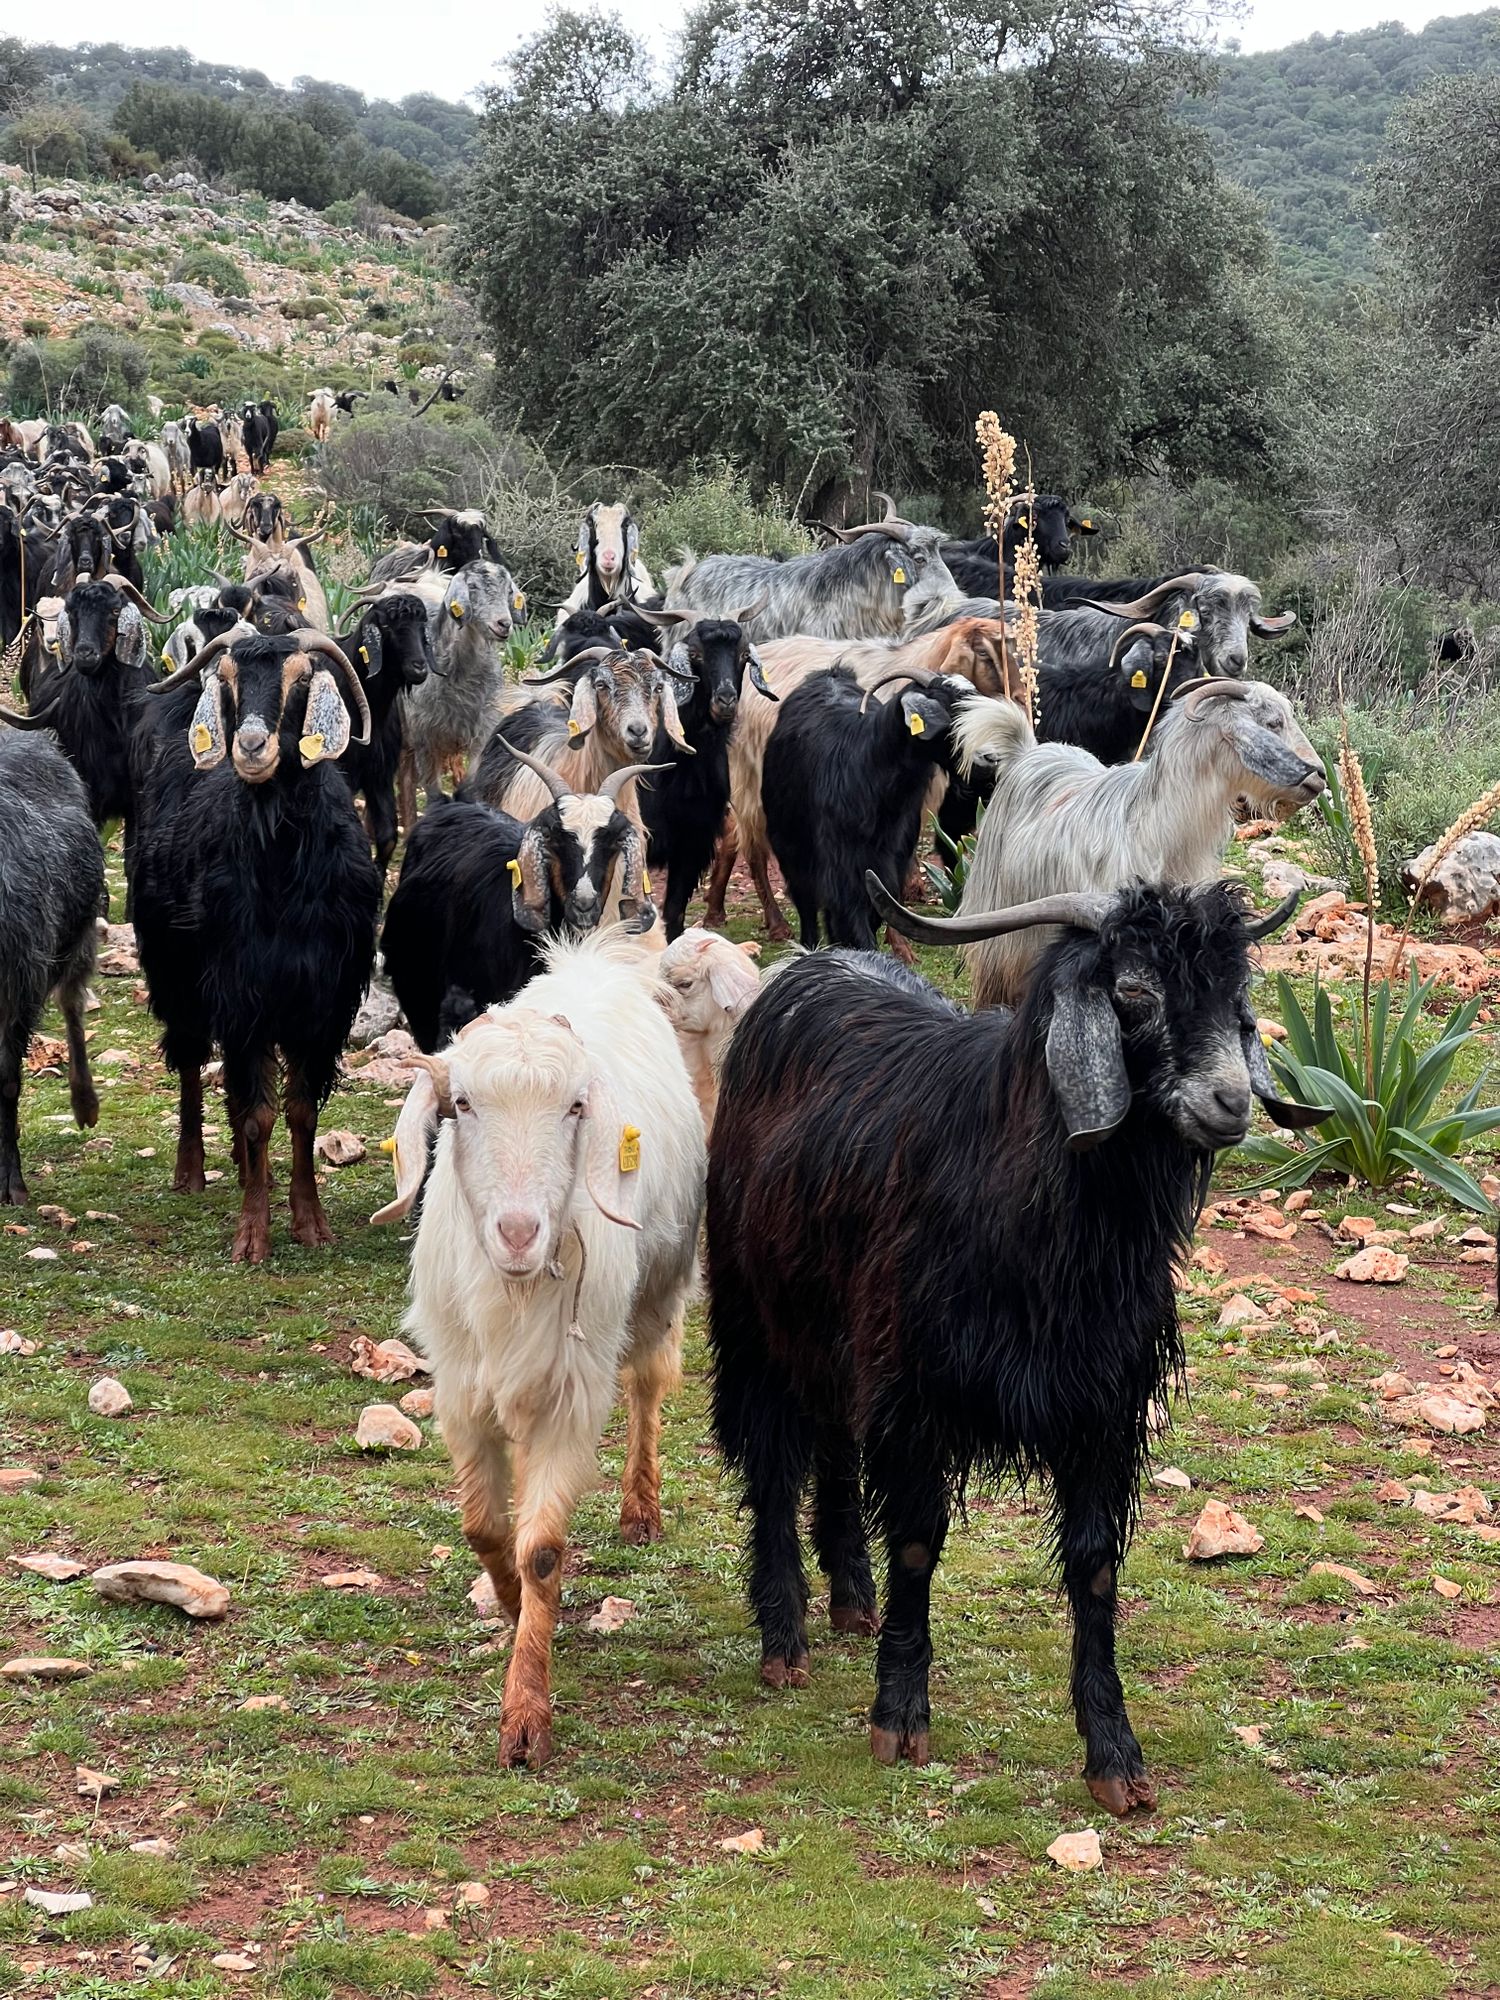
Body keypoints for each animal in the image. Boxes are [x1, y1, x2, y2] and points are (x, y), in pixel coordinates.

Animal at [128, 625, 381, 1262]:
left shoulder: (324, 1002)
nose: (249, 746)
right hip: (175, 976)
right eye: (229, 681)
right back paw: (192, 1170)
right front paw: (252, 1234)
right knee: (192, 1063)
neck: (283, 872)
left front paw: (310, 1222)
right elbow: (258, 1116)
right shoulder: (241, 991)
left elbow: (300, 1112)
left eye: (300, 681)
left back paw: (249, 1171)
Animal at [372, 930, 705, 1767]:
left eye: (574, 1107)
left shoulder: (572, 1394)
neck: (516, 1292)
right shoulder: (462, 1389)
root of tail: (592, 958)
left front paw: (525, 1715)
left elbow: (542, 1549)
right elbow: (486, 1529)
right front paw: (511, 1604)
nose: (519, 1233)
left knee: (648, 1385)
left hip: (660, 1289)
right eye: (462, 1104)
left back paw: (640, 1507)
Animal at [707, 875, 1322, 1803]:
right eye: (1132, 991)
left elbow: (1095, 1563)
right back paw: (786, 1638)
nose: (1230, 1103)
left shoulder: (1101, 1406)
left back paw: (851, 1595)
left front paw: (1115, 1756)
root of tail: (809, 967)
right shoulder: (916, 1389)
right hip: (755, 1313)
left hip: (839, 1332)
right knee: (776, 1461)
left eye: (1237, 996)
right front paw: (899, 1716)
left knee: (834, 1443)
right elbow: (917, 1542)